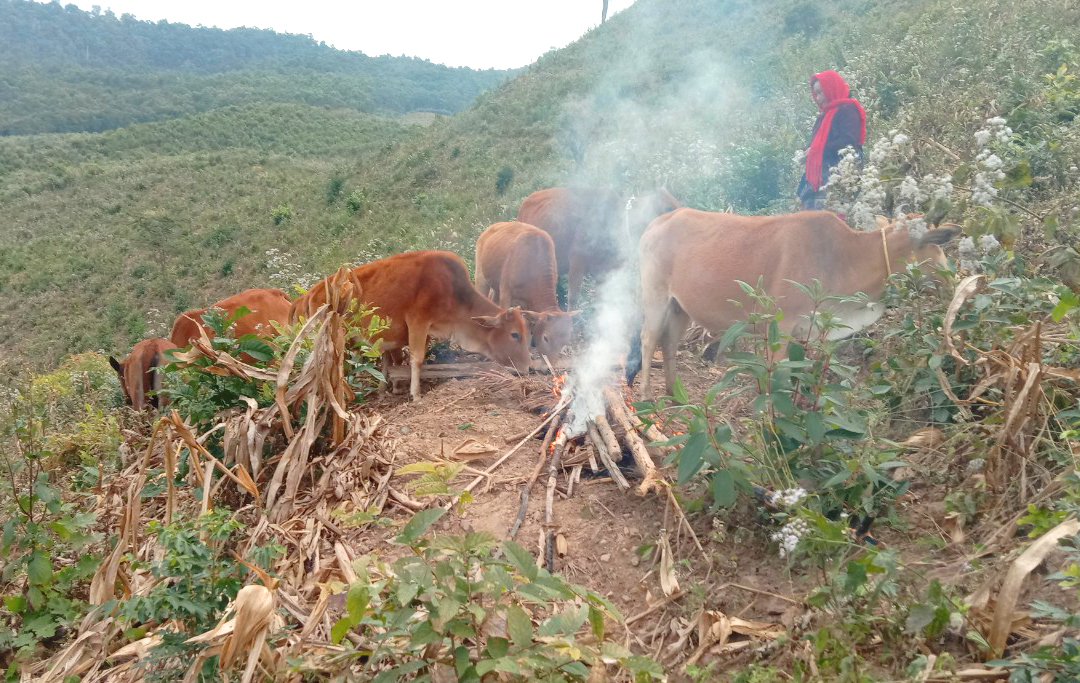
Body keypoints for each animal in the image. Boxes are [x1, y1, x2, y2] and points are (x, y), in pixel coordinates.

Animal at [349, 250, 531, 399]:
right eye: (515, 334)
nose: (527, 367)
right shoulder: (418, 321)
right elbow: (417, 358)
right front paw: (416, 394)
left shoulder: (428, 331)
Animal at [475, 222, 578, 363]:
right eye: (546, 337)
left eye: (565, 341)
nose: (551, 363)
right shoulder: (506, 293)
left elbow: (528, 328)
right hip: (481, 277)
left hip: (495, 287)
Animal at [630, 210, 959, 397]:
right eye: (936, 247)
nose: (954, 280)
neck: (844, 258)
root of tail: (655, 223)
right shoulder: (782, 326)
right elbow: (778, 378)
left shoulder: (809, 332)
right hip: (655, 296)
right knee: (648, 338)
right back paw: (647, 397)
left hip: (680, 307)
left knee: (669, 343)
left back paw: (676, 395)